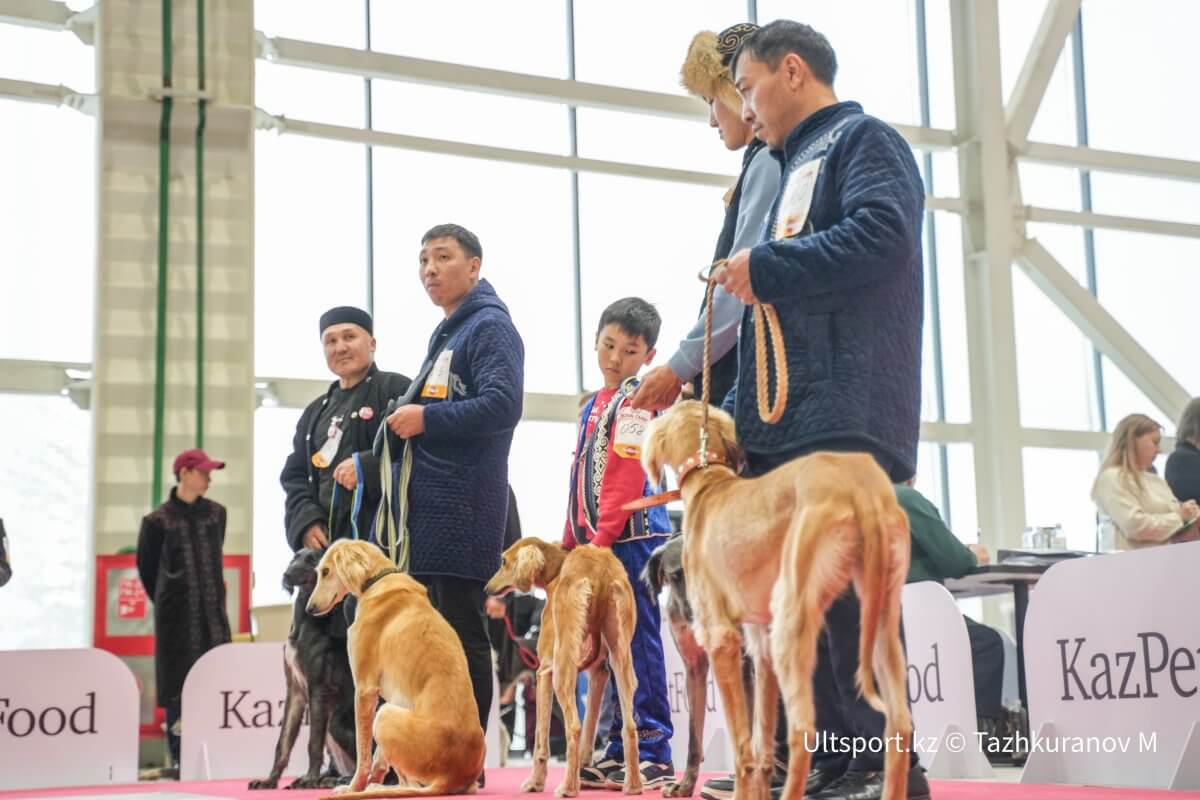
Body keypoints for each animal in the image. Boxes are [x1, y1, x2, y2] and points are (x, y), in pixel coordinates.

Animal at [246, 551, 352, 786]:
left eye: (313, 560)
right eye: (294, 558)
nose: (287, 574)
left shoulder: (317, 688)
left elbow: (313, 742)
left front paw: (310, 778)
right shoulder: (294, 689)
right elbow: (283, 740)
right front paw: (269, 781)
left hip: (335, 722)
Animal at [307, 542, 484, 796]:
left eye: (326, 571)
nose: (309, 609)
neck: (377, 581)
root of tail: (449, 777)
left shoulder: (365, 690)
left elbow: (363, 754)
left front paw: (354, 787)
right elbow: (377, 758)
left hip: (385, 715)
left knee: (409, 784)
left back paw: (374, 788)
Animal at [484, 537, 648, 800]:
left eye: (504, 561)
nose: (487, 589)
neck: (555, 572)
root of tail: (600, 573)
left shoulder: (544, 672)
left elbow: (541, 740)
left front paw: (534, 783)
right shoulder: (598, 673)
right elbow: (590, 728)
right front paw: (584, 765)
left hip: (563, 670)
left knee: (573, 727)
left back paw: (568, 788)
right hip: (622, 660)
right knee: (629, 727)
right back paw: (632, 786)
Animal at [648, 402, 907, 800]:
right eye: (675, 577)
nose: (693, 619)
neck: (712, 484)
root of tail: (854, 483)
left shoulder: (727, 647)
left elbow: (743, 744)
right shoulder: (738, 653)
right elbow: (740, 740)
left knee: (804, 730)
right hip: (879, 620)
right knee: (900, 724)